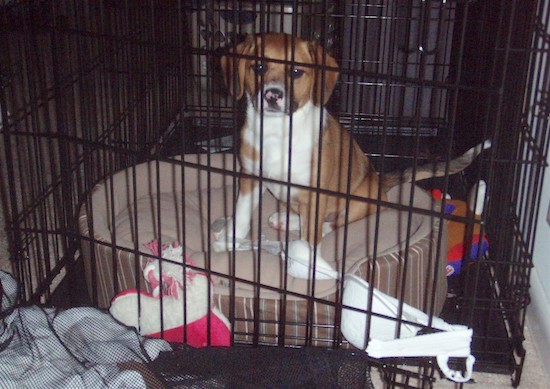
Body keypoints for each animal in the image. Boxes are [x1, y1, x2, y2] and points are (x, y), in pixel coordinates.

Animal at [217, 34, 492, 252]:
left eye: (295, 71)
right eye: (258, 67)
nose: (272, 95)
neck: (277, 132)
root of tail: (379, 182)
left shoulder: (315, 192)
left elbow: (313, 233)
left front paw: (307, 262)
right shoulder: (250, 178)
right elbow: (242, 215)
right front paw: (230, 240)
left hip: (358, 199)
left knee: (333, 222)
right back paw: (288, 220)